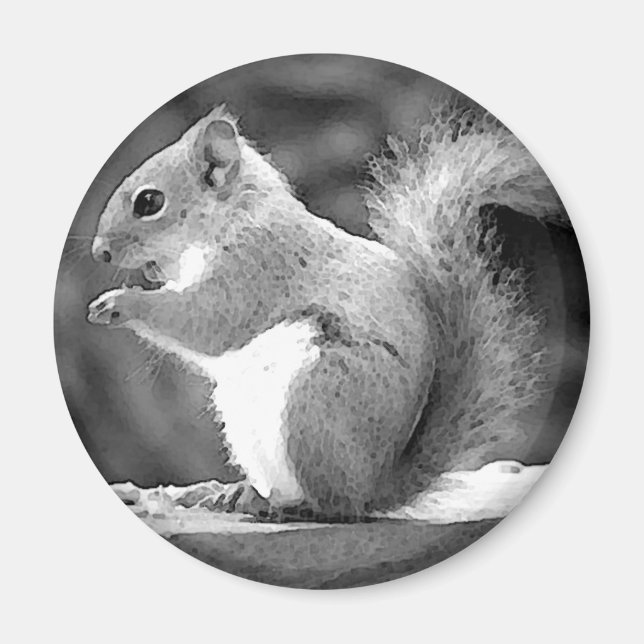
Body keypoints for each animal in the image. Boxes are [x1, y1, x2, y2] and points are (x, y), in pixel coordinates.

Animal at [87, 102, 568, 521]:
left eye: (149, 202)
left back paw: (288, 506)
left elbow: (204, 321)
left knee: (333, 505)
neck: (234, 217)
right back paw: (231, 493)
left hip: (317, 402)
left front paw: (120, 302)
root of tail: (373, 489)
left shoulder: (257, 267)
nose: (99, 253)